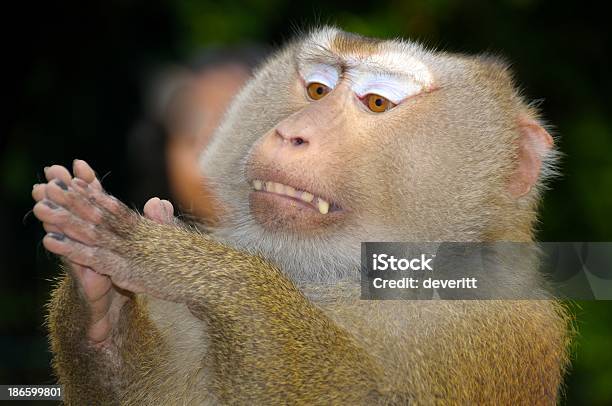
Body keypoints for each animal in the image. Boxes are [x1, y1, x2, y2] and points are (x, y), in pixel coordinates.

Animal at [31, 27, 572, 404]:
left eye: (377, 102)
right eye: (316, 91)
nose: (293, 133)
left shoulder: (493, 327)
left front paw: (197, 268)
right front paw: (101, 312)